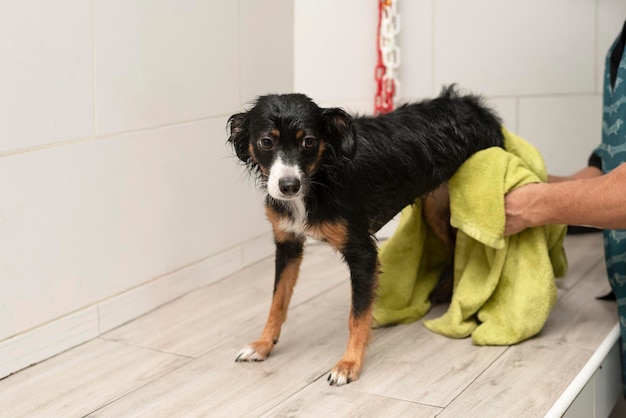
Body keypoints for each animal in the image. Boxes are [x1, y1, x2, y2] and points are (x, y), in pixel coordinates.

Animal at [227, 85, 504, 386]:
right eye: (266, 142)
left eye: (309, 142)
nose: (289, 186)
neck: (322, 175)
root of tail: (471, 104)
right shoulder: (287, 243)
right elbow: (277, 300)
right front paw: (263, 345)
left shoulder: (363, 253)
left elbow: (357, 315)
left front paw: (349, 364)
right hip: (437, 209)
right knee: (452, 249)